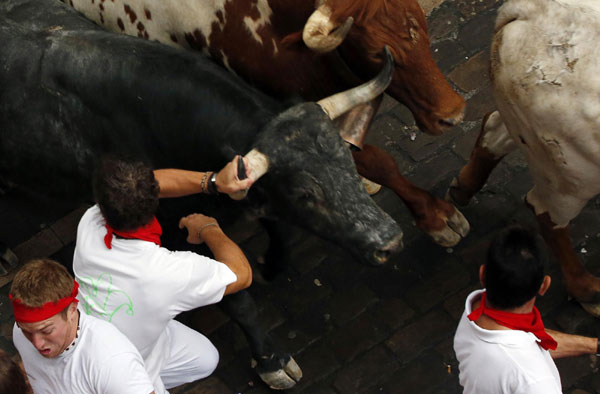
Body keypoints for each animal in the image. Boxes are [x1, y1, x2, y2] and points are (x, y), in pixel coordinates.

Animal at [0, 0, 404, 390]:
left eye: (348, 158)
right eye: (306, 193)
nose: (389, 239)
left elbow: (279, 229)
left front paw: (273, 263)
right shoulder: (177, 234)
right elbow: (238, 301)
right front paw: (271, 361)